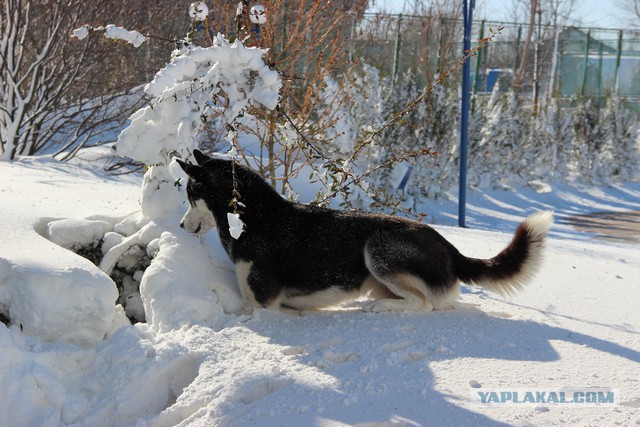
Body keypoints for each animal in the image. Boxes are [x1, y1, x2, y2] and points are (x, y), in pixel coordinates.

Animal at [178, 152, 552, 312]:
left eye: (190, 194)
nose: (181, 226)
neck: (254, 217)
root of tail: (449, 247)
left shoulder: (262, 305)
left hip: (379, 248)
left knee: (424, 304)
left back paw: (383, 309)